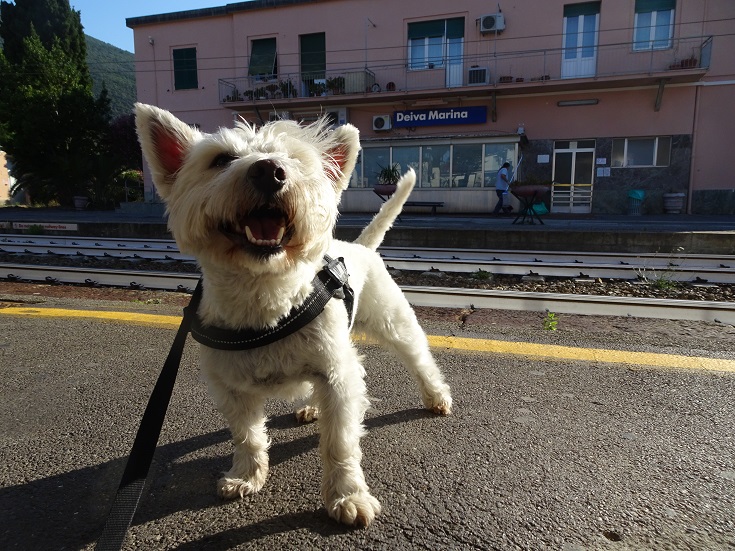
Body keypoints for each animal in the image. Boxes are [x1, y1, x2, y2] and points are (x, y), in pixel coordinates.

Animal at [134, 101, 452, 528]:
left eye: (296, 160)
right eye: (221, 160)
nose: (269, 170)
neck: (265, 300)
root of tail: (359, 245)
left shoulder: (339, 376)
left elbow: (340, 443)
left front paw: (348, 497)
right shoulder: (231, 387)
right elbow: (247, 435)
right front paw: (245, 476)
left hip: (393, 322)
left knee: (420, 359)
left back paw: (436, 396)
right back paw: (310, 408)